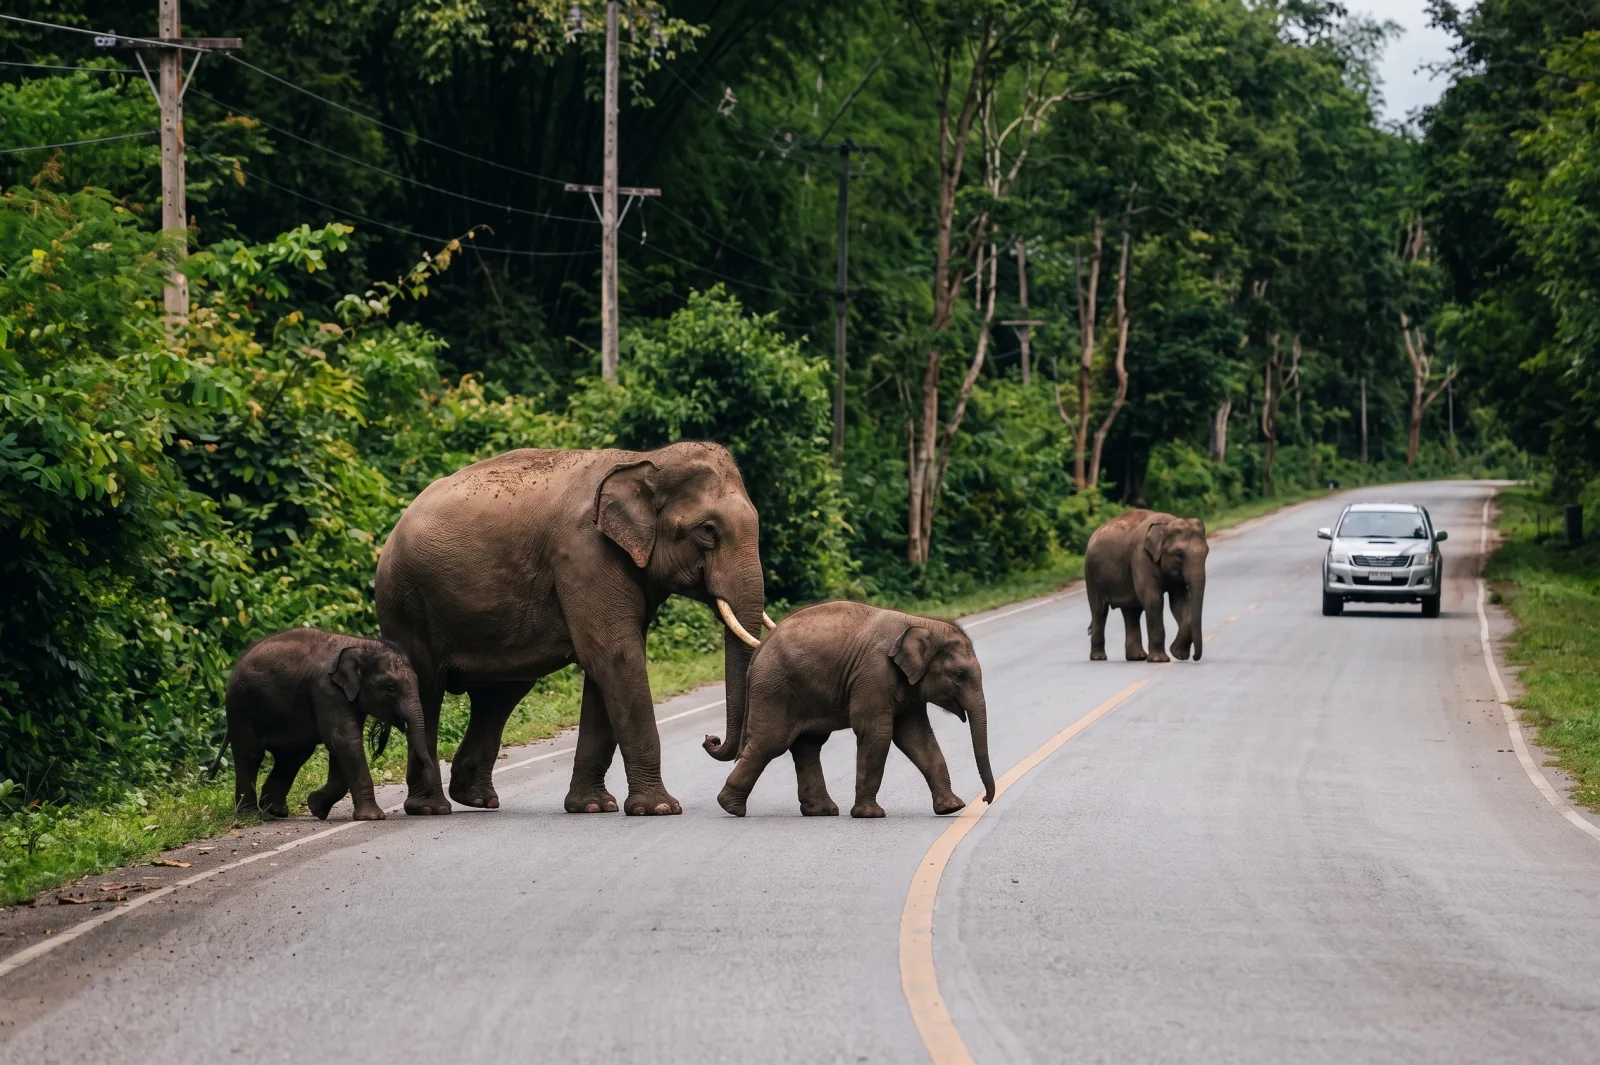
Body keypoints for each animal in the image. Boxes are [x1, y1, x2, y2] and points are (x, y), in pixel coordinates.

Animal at [212, 628, 438, 821]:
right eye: (391, 687)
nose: (427, 797)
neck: (360, 644)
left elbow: (343, 745)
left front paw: (316, 807)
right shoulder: (326, 690)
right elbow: (345, 740)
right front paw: (372, 817)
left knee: (292, 757)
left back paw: (275, 812)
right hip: (240, 706)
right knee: (250, 754)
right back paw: (251, 815)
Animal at [375, 442, 767, 817]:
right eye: (707, 531)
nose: (710, 739)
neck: (644, 460)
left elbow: (605, 669)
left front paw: (593, 807)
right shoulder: (584, 554)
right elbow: (616, 657)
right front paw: (660, 809)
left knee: (500, 694)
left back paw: (475, 798)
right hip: (405, 604)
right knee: (427, 690)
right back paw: (431, 808)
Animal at [711, 601, 997, 819]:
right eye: (960, 676)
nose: (985, 800)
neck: (921, 623)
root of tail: (759, 651)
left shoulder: (909, 686)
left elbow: (917, 737)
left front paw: (952, 808)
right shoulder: (874, 672)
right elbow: (876, 733)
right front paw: (870, 815)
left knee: (807, 745)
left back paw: (821, 812)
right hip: (774, 688)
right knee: (769, 744)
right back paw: (731, 807)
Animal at [1084, 509, 1209, 663]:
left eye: (1207, 553)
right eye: (1179, 555)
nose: (1194, 657)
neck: (1165, 524)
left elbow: (1180, 602)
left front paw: (1178, 654)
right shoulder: (1141, 557)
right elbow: (1153, 601)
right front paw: (1159, 660)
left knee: (1131, 612)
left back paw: (1136, 657)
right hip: (1091, 573)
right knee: (1099, 611)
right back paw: (1099, 657)